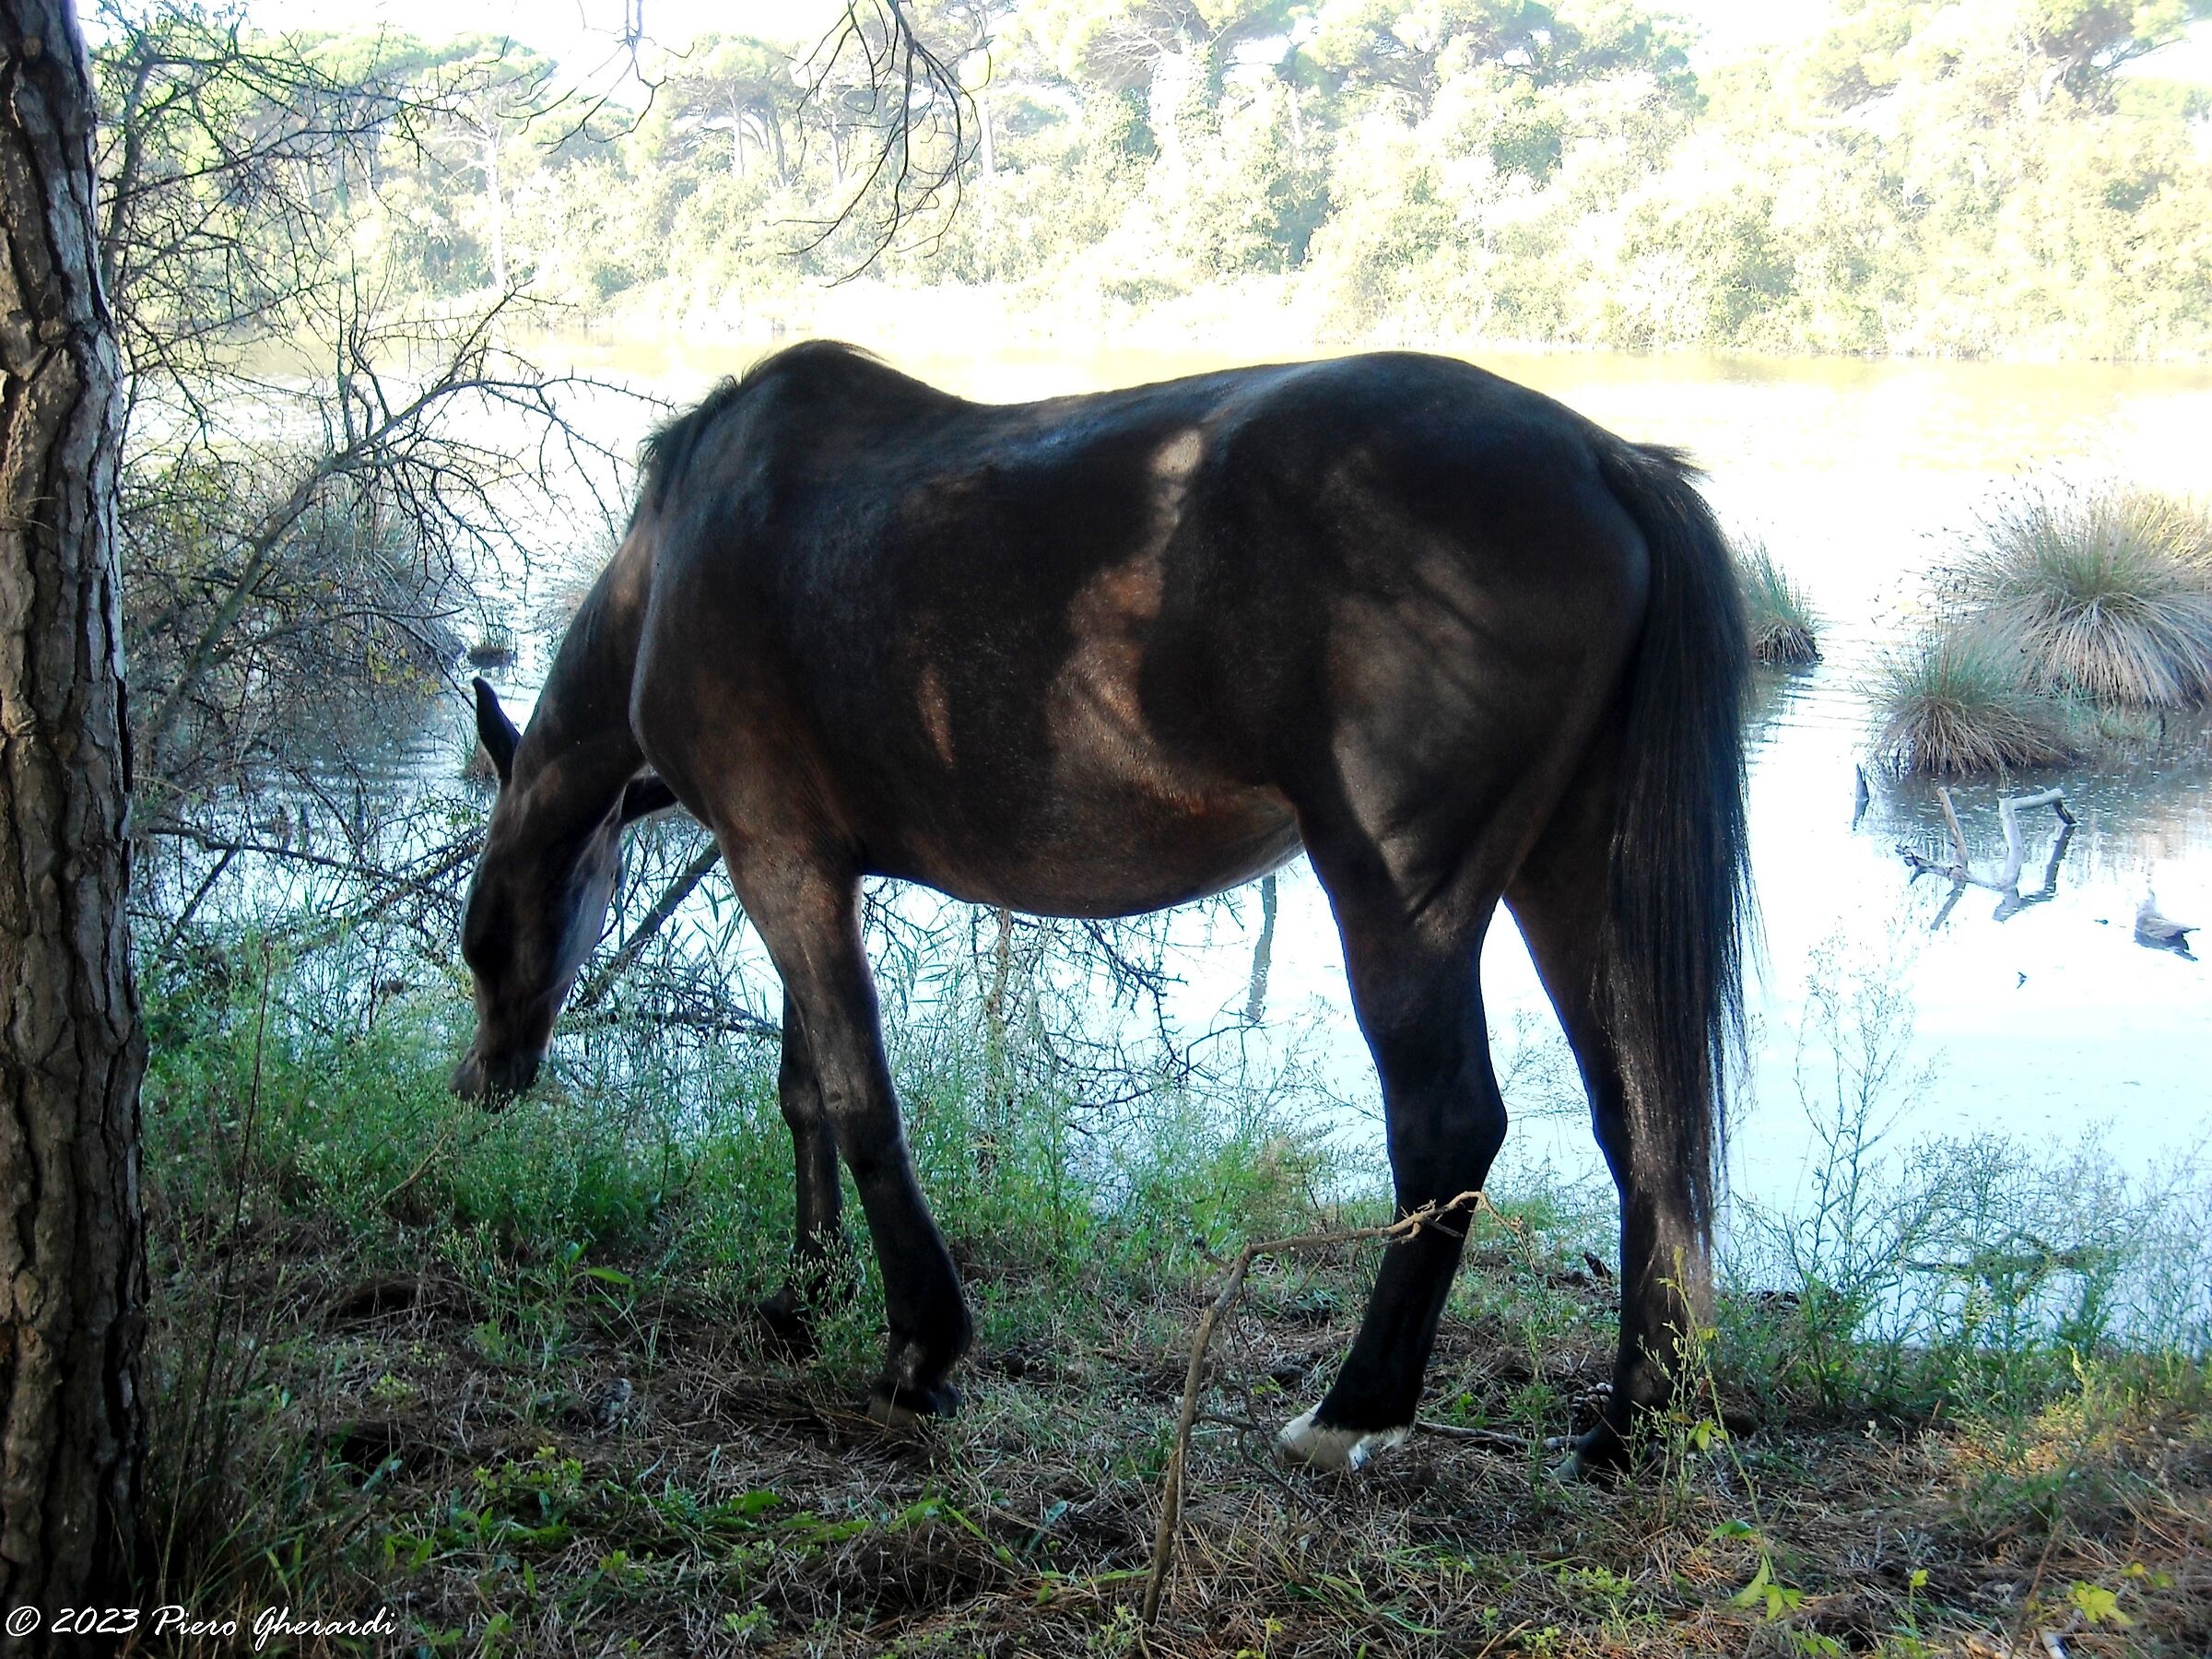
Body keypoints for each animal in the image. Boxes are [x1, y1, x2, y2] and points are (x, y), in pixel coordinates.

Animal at [453, 341, 1749, 1477]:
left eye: (478, 932)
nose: (478, 1085)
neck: (679, 554)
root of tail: (1602, 459)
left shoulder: (778, 863)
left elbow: (857, 1098)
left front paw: (919, 1349)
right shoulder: (802, 865)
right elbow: (806, 1093)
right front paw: (804, 1296)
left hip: (1400, 898)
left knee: (1448, 1130)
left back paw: (1350, 1413)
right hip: (1567, 878)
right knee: (1642, 1128)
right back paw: (1629, 1427)